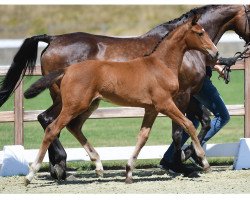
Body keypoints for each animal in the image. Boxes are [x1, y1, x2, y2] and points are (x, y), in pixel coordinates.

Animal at [0, 4, 249, 180]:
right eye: (200, 33)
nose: (216, 54)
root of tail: (52, 39)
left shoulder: (184, 97)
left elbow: (203, 122)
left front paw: (186, 158)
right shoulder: (182, 95)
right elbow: (181, 130)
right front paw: (183, 162)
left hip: (81, 101)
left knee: (56, 122)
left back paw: (62, 167)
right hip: (67, 99)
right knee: (50, 121)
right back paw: (58, 166)